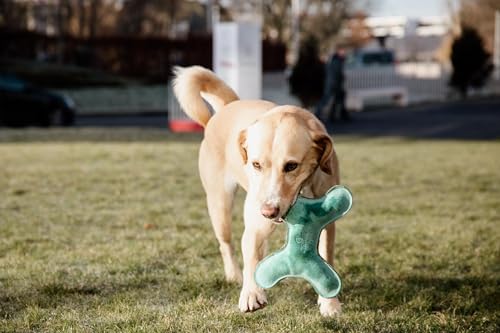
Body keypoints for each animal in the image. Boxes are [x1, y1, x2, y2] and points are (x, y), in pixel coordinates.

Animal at [174, 65, 342, 316]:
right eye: (256, 164)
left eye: (291, 166)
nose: (269, 211)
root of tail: (229, 105)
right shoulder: (255, 224)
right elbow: (250, 255)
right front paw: (251, 293)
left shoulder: (326, 224)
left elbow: (326, 255)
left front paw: (330, 304)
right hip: (220, 205)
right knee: (227, 244)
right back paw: (234, 274)